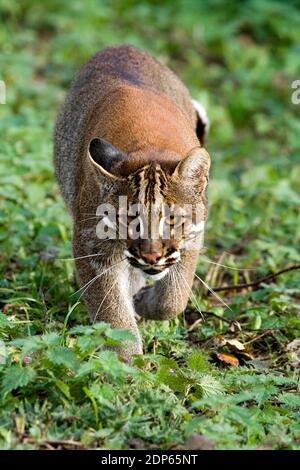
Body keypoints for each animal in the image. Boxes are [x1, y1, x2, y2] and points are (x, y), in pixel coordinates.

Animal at [54, 45, 210, 360]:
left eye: (172, 220)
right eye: (129, 219)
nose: (151, 256)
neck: (150, 145)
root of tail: (122, 46)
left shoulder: (193, 236)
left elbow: (174, 296)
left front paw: (145, 304)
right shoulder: (92, 245)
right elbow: (111, 310)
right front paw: (126, 363)